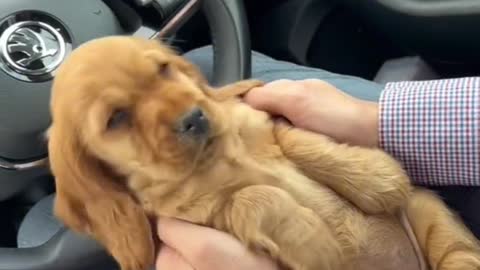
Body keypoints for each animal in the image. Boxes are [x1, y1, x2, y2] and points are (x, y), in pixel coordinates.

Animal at [47, 37, 480, 270]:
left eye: (165, 69)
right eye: (116, 118)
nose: (195, 118)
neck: (219, 155)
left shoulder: (268, 122)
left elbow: (299, 141)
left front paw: (376, 177)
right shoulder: (205, 216)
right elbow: (252, 197)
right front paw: (317, 243)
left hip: (428, 210)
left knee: (459, 253)